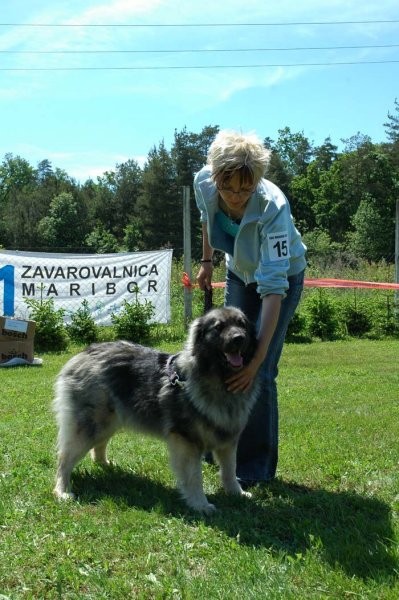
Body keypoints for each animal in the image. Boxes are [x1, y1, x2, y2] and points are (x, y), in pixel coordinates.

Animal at [52, 308, 260, 512]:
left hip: (108, 421)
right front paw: (200, 504)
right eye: (219, 327)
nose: (239, 338)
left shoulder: (228, 439)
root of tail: (83, 354)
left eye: (242, 324)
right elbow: (194, 477)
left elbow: (230, 470)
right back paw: (62, 491)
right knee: (64, 459)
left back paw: (106, 465)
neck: (218, 379)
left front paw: (237, 493)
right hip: (91, 426)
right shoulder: (187, 441)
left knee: (98, 447)